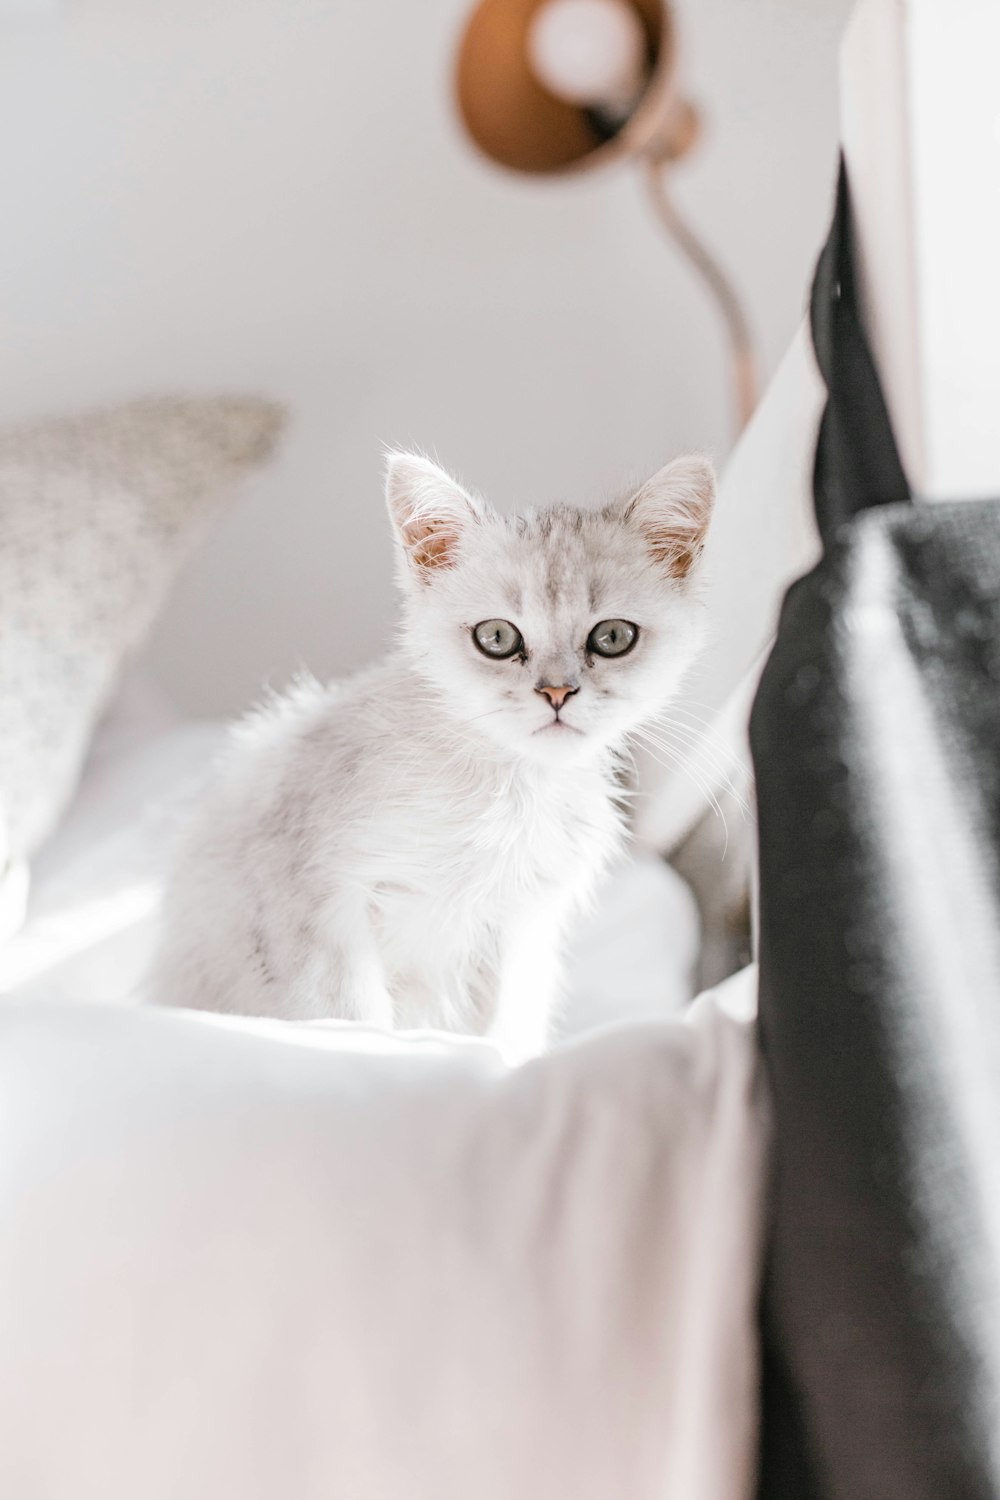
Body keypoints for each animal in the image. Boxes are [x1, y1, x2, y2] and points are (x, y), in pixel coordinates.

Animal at [150, 450, 710, 1062]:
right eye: (497, 637)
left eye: (611, 637)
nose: (558, 692)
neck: (506, 792)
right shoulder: (314, 900)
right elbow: (351, 1020)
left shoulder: (517, 928)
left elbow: (495, 1029)